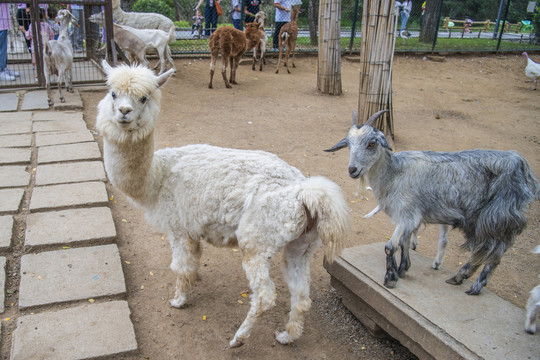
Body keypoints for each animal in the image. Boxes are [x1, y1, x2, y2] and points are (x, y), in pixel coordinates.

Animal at [97, 62, 350, 348]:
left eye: (144, 97)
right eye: (112, 93)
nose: (124, 112)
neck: (156, 178)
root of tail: (305, 191)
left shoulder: (179, 227)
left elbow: (180, 266)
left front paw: (178, 300)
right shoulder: (192, 231)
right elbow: (192, 263)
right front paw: (193, 283)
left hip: (257, 238)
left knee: (265, 295)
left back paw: (238, 338)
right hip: (302, 245)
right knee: (302, 295)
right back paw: (287, 336)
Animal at [324, 109, 540, 296]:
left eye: (371, 143)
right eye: (349, 144)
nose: (353, 170)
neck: (394, 173)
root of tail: (521, 163)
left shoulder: (408, 214)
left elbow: (390, 246)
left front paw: (390, 277)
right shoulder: (409, 217)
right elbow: (404, 242)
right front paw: (403, 268)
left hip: (496, 215)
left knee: (494, 252)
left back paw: (470, 282)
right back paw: (462, 277)